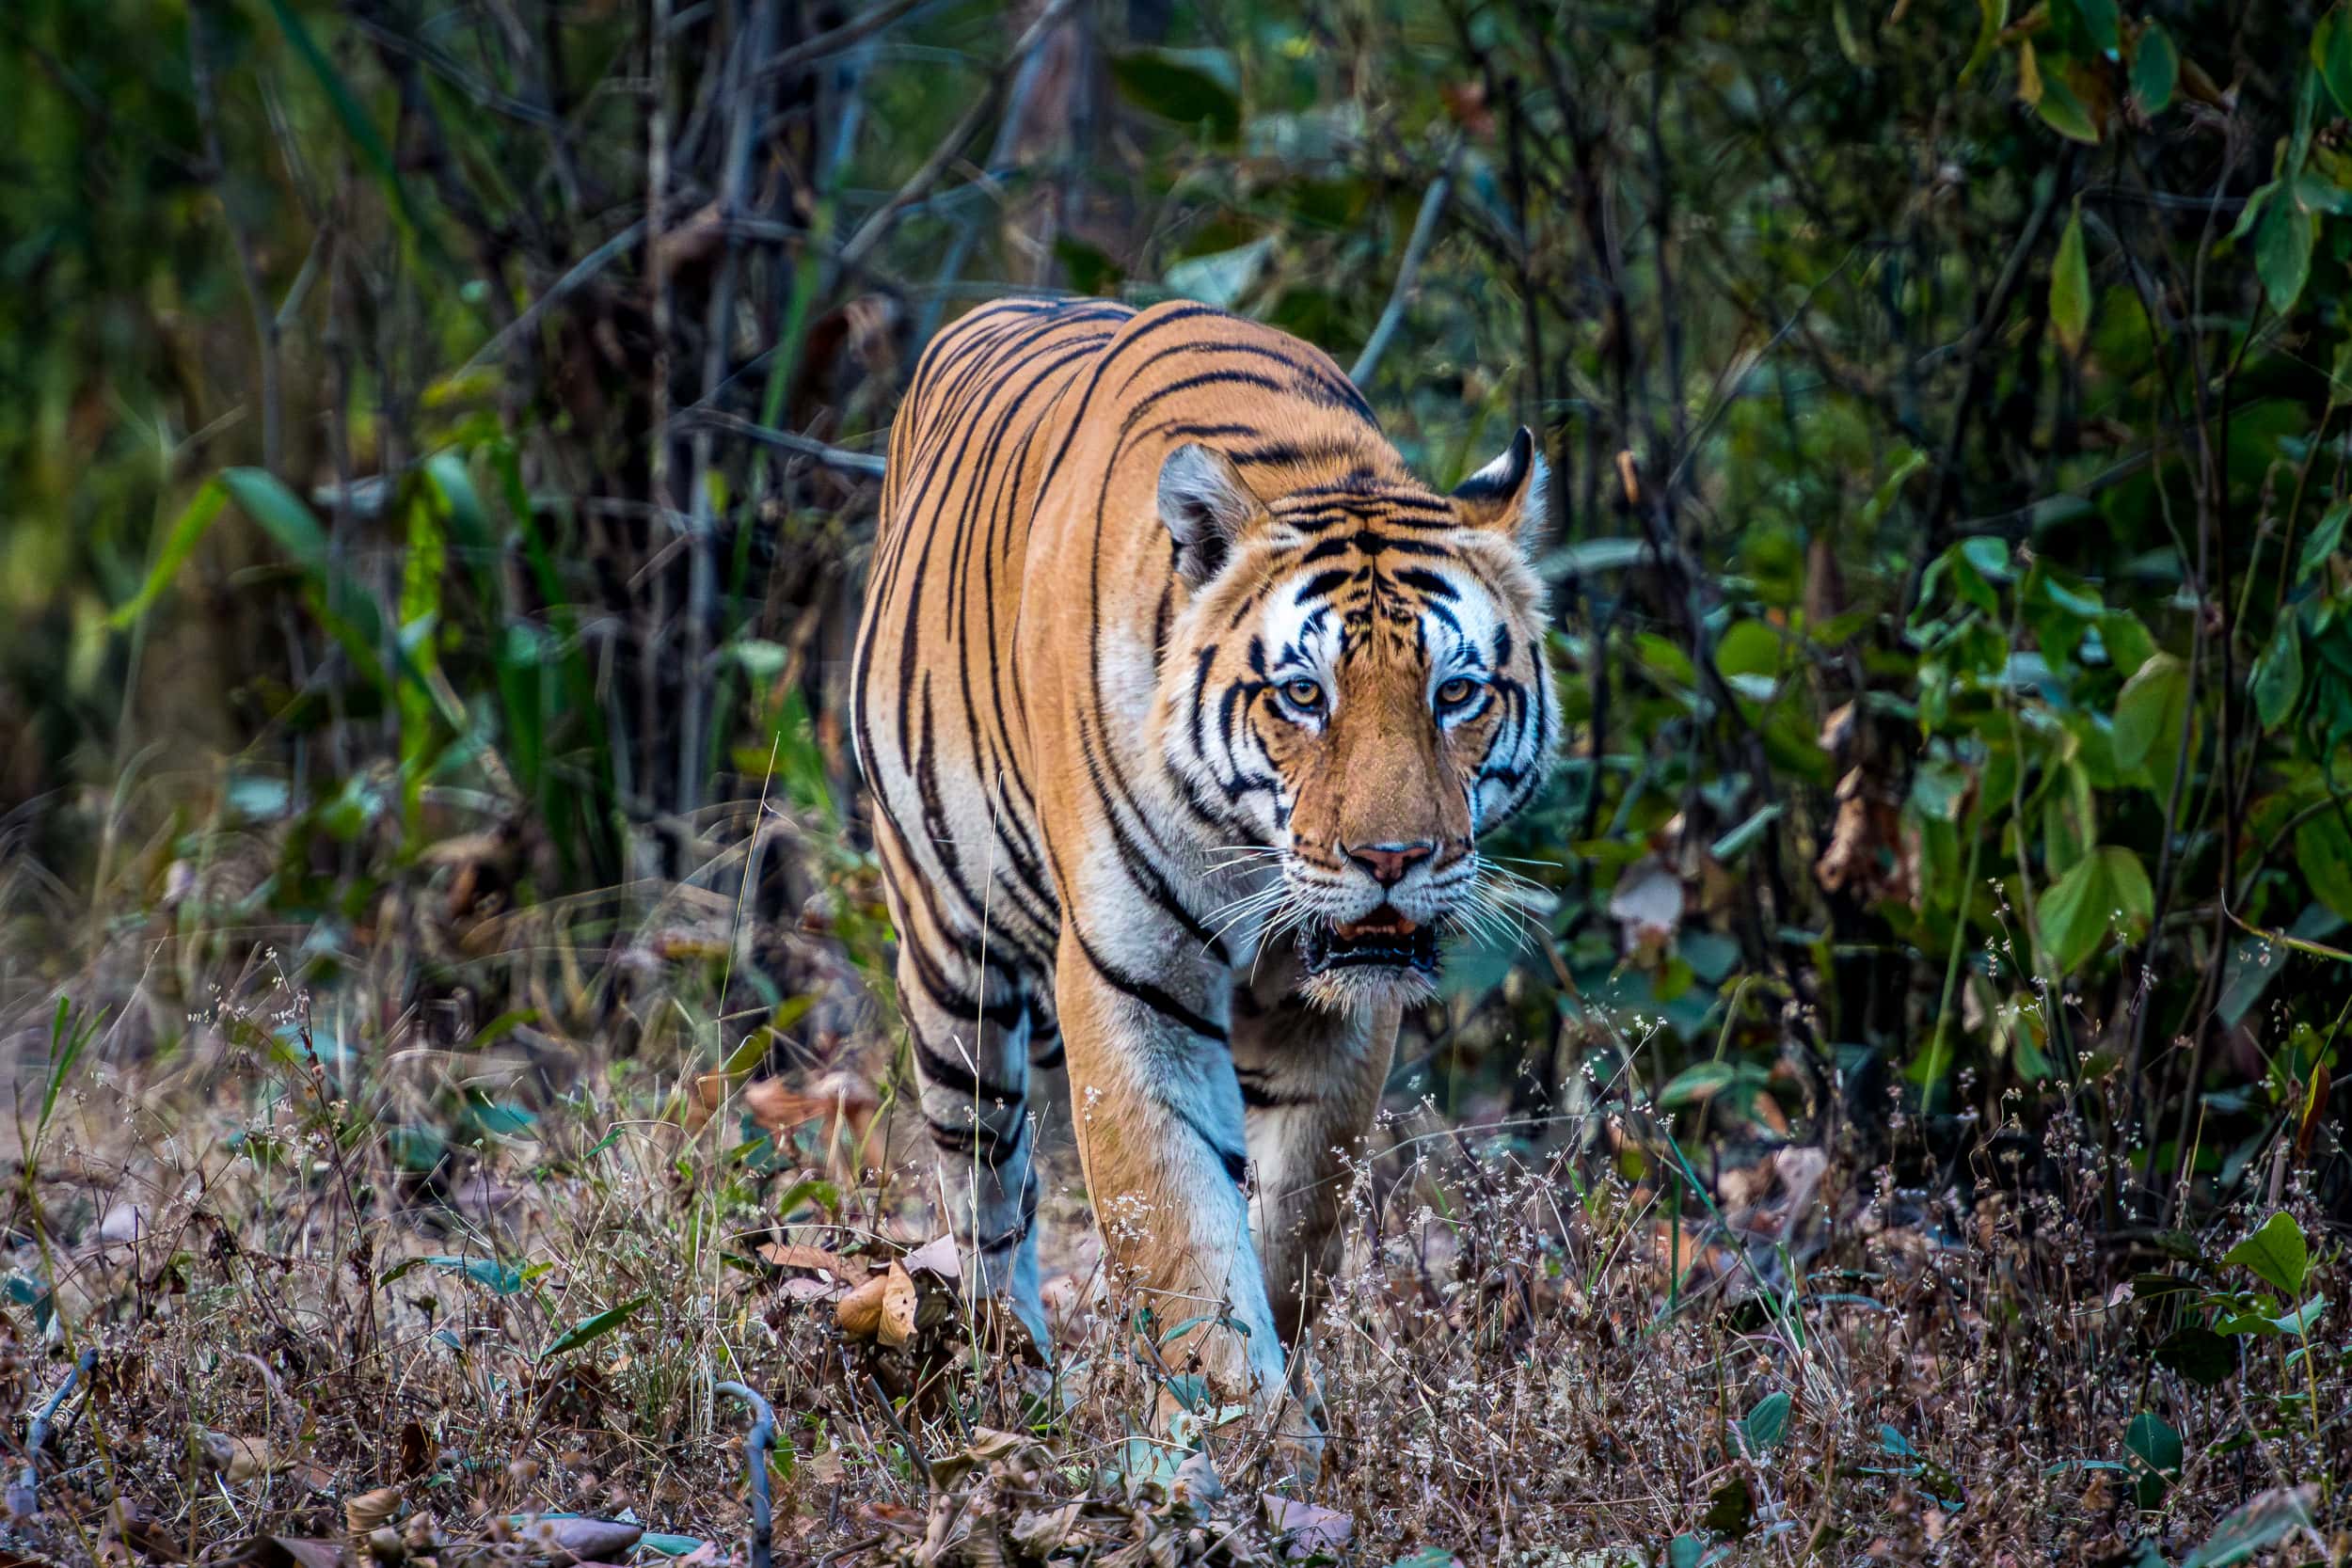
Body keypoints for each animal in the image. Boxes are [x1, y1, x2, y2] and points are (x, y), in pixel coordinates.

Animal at [850, 295, 1556, 1475]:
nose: (1392, 860)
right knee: (987, 1189)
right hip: (953, 963)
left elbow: (1294, 1224)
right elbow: (1180, 1234)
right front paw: (1235, 1444)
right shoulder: (1131, 982)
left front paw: (1273, 1418)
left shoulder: (1336, 1017)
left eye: (1456, 693)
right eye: (1303, 695)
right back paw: (1007, 1382)